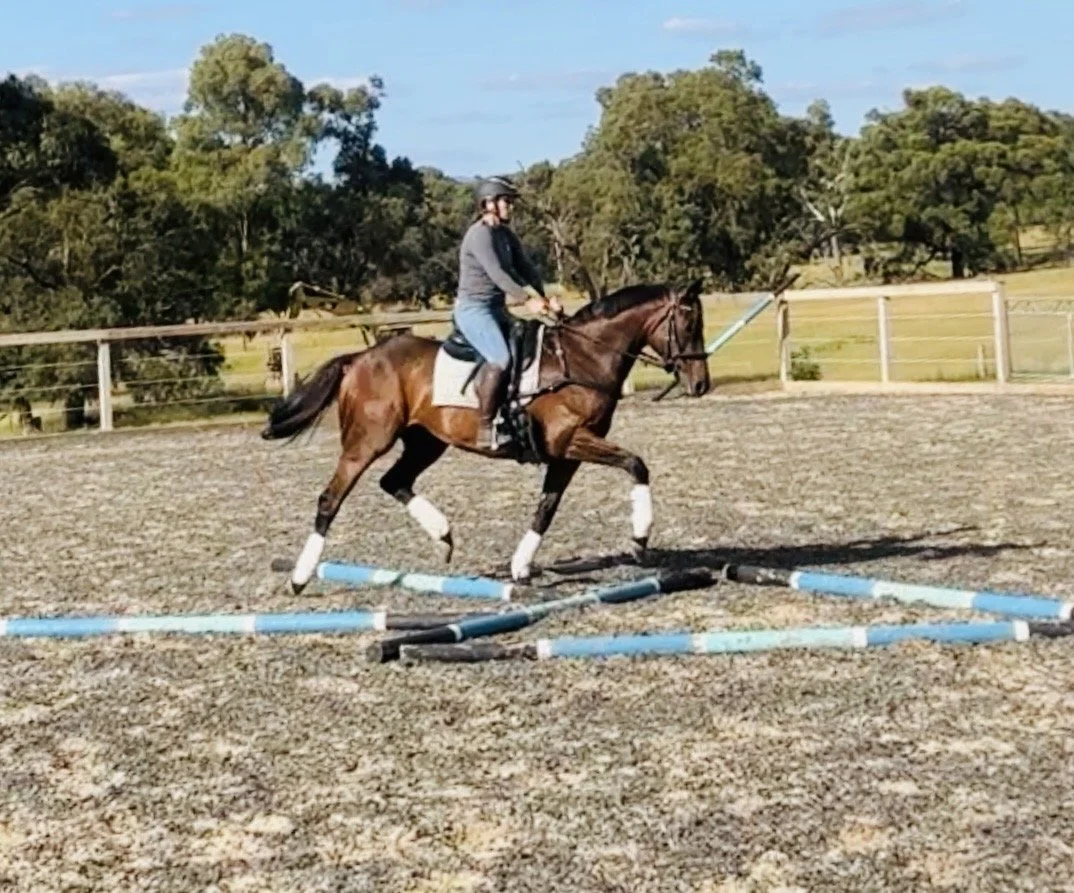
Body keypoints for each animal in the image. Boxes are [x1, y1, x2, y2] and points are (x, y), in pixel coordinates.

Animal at [261, 279, 711, 592]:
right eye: (689, 322)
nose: (701, 384)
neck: (583, 358)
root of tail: (359, 359)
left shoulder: (565, 455)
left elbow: (546, 508)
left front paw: (520, 567)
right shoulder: (571, 441)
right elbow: (636, 464)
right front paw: (639, 538)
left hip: (426, 441)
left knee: (395, 481)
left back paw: (443, 536)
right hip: (368, 441)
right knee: (331, 499)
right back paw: (299, 578)